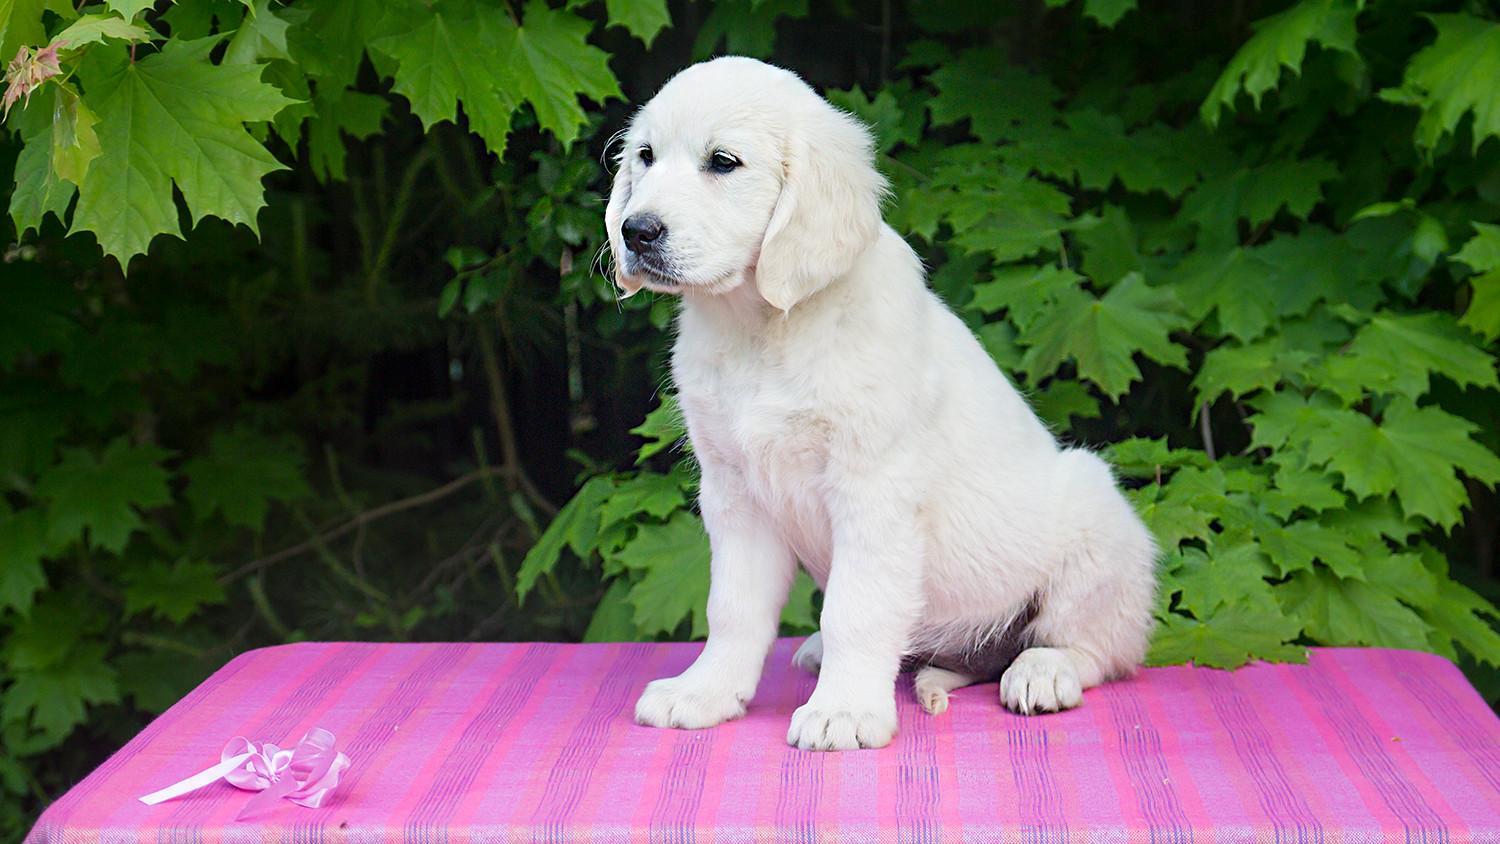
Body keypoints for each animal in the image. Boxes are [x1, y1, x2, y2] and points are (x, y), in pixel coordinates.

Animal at [603, 57, 1152, 752]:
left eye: (723, 162)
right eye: (645, 157)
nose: (636, 231)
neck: (762, 329)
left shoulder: (873, 488)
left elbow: (856, 609)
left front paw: (843, 711)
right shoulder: (735, 491)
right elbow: (732, 608)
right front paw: (706, 691)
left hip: (1096, 528)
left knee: (1099, 648)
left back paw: (1044, 671)